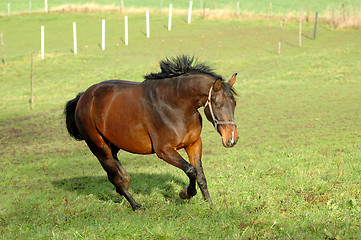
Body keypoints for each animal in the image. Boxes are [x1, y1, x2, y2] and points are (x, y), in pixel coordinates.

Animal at [64, 55, 239, 210]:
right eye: (217, 104)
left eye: (234, 103)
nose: (232, 139)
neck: (176, 106)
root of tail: (83, 97)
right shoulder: (164, 150)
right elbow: (191, 170)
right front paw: (185, 193)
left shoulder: (194, 144)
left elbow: (200, 175)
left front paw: (210, 205)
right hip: (98, 146)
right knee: (113, 176)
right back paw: (136, 205)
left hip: (114, 141)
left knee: (116, 166)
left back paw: (124, 184)